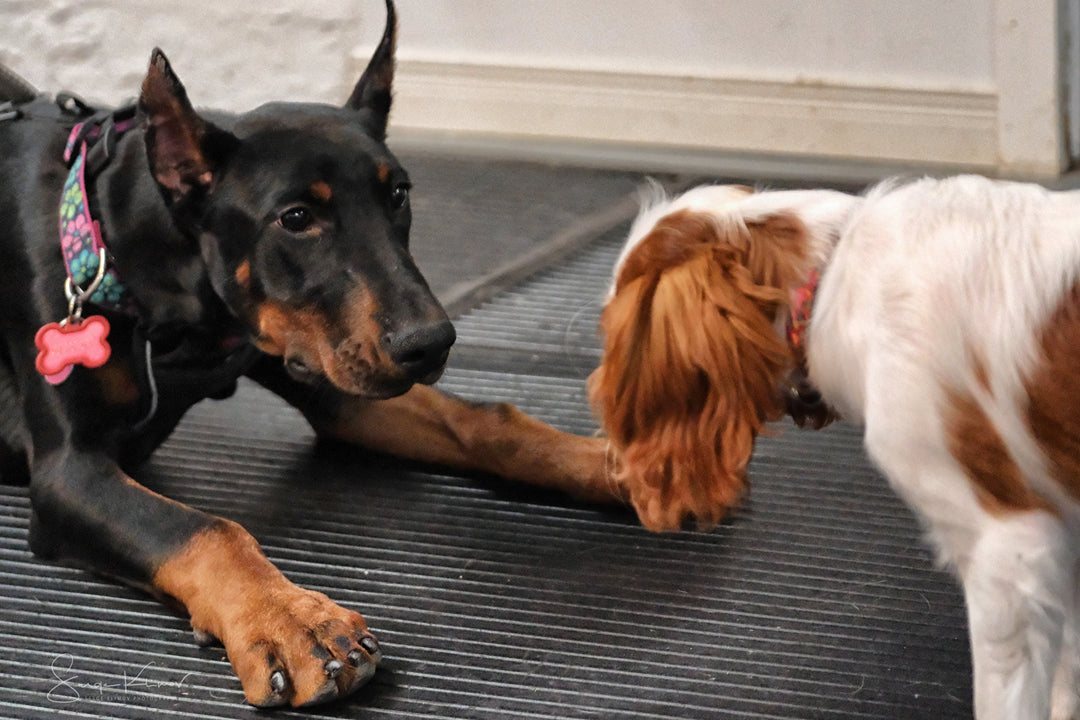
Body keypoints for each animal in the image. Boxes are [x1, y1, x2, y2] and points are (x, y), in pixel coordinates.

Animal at [0, 1, 626, 708]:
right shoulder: (68, 472)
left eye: (399, 193)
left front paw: (625, 464)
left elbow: (484, 419)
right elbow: (203, 528)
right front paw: (294, 622)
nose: (430, 342)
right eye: (296, 218)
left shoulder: (329, 367)